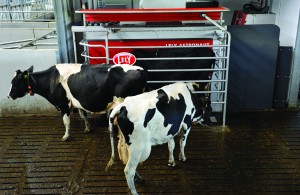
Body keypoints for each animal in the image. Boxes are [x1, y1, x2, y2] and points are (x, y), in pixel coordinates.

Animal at [7, 63, 147, 141]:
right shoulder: (77, 102)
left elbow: (66, 121)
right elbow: (82, 115)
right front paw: (87, 128)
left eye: (14, 82)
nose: (9, 96)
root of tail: (140, 70)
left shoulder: (63, 104)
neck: (51, 79)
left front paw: (66, 136)